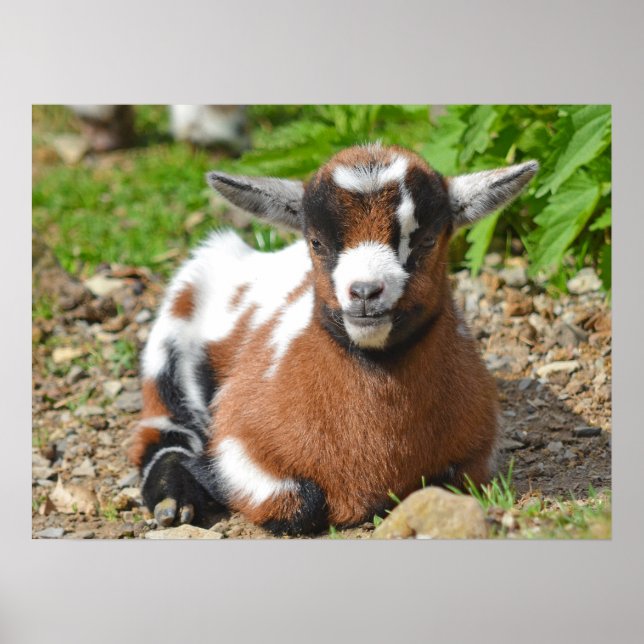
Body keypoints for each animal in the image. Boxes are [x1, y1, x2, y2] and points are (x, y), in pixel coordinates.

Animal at [129, 143, 538, 534]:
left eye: (426, 241)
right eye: (317, 242)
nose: (365, 292)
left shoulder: (477, 455)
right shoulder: (239, 442)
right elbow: (300, 504)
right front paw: (204, 476)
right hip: (175, 330)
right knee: (163, 428)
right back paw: (173, 499)